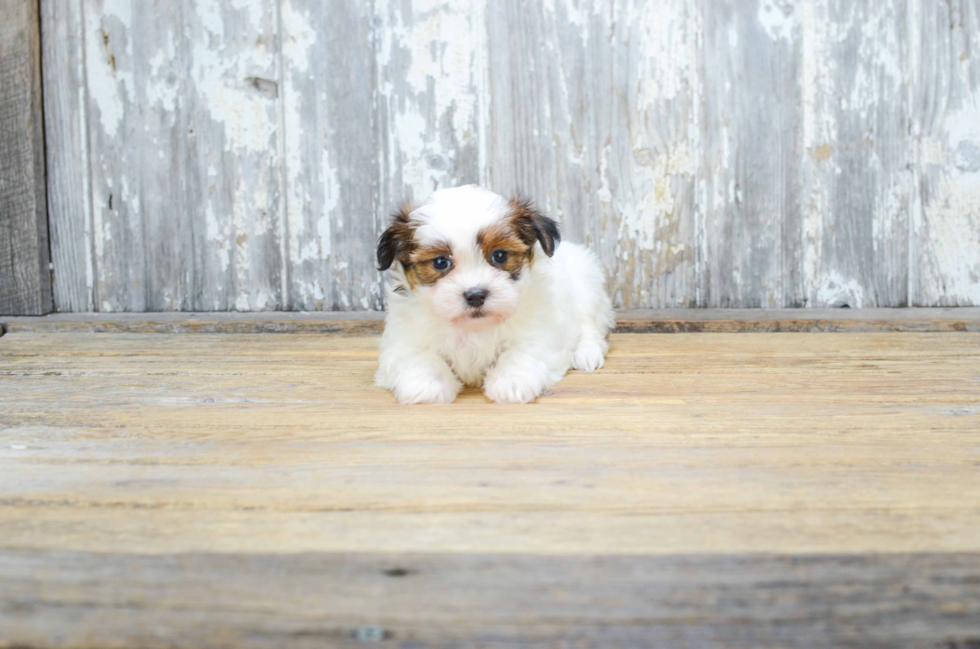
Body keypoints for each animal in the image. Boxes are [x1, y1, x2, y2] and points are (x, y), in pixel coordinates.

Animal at [376, 185, 612, 402]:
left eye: (500, 256)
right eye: (440, 262)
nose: (475, 295)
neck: (473, 328)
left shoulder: (539, 333)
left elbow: (520, 352)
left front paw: (511, 382)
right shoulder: (403, 338)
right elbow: (418, 355)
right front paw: (429, 384)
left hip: (587, 283)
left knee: (590, 326)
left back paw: (587, 353)